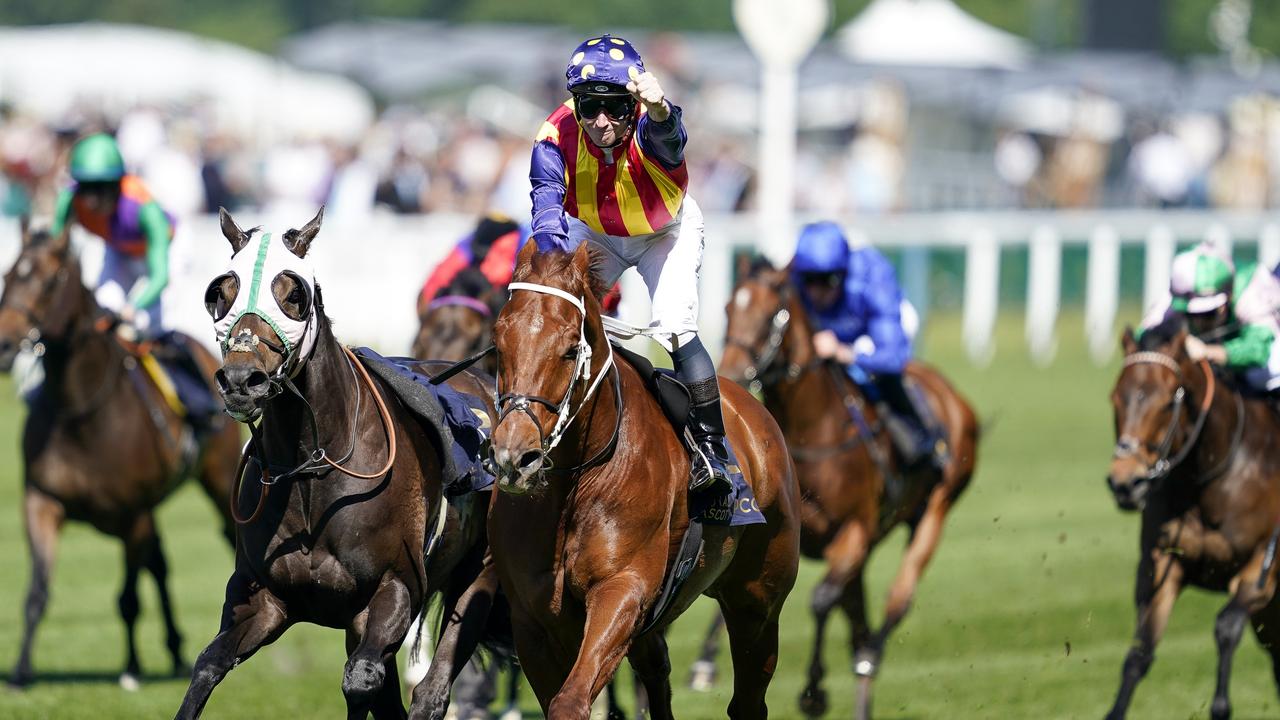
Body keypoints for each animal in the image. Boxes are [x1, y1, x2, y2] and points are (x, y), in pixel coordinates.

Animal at [0, 221, 241, 686]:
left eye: (51, 280)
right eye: (8, 276)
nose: (3, 344)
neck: (82, 410)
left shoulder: (132, 513)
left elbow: (128, 597)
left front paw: (131, 669)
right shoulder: (41, 500)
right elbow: (37, 591)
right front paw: (21, 672)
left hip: (219, 481)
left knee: (223, 538)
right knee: (160, 565)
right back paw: (175, 649)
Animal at [174, 204, 499, 712]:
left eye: (294, 294)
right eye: (220, 293)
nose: (242, 379)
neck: (314, 466)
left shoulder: (393, 591)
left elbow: (361, 679)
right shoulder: (266, 599)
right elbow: (208, 664)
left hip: (479, 575)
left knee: (431, 690)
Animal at [716, 262, 972, 717]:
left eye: (770, 316)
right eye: (729, 308)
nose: (730, 373)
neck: (815, 430)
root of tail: (954, 398)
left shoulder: (852, 532)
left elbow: (820, 599)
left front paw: (813, 691)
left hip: (933, 511)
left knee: (894, 603)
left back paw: (871, 655)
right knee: (858, 622)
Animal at [1100, 320, 1280, 717]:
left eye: (1169, 400)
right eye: (1116, 397)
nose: (1125, 483)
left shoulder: (1264, 569)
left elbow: (1226, 626)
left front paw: (1221, 707)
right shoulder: (1162, 563)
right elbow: (1139, 653)